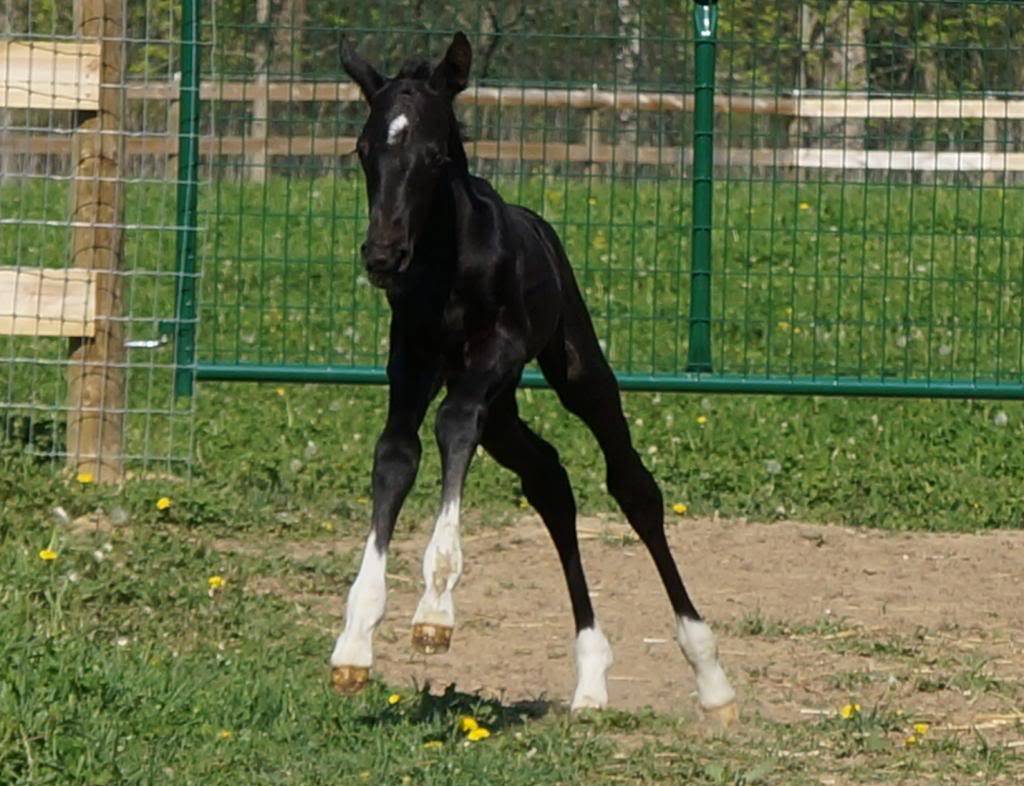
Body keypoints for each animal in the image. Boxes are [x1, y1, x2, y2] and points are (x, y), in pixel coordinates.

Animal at [327, 33, 737, 720]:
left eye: (434, 155)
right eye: (362, 150)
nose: (382, 255)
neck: (446, 267)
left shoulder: (498, 353)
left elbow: (451, 423)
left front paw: (435, 612)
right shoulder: (410, 364)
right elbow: (396, 455)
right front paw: (355, 644)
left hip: (576, 373)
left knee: (632, 487)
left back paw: (710, 676)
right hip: (504, 414)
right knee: (550, 480)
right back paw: (591, 675)